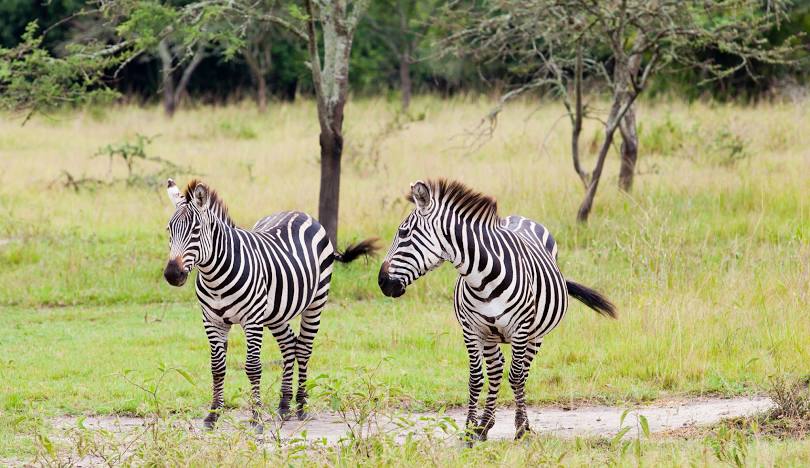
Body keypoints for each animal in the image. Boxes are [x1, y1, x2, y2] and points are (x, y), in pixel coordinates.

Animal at [164, 179, 378, 432]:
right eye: (169, 230)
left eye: (196, 231)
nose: (172, 274)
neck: (214, 277)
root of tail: (299, 212)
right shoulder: (212, 321)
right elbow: (217, 367)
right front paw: (213, 416)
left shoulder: (252, 321)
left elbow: (253, 367)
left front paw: (256, 418)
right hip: (276, 313)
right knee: (289, 344)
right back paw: (284, 405)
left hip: (316, 302)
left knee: (303, 348)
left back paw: (301, 406)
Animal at [376, 179, 616, 442]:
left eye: (403, 233)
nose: (381, 282)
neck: (481, 279)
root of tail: (520, 217)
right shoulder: (471, 330)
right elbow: (476, 378)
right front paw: (471, 429)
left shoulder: (520, 329)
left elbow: (516, 376)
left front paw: (520, 428)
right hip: (491, 335)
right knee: (496, 369)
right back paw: (485, 424)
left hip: (535, 335)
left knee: (522, 372)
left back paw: (521, 424)